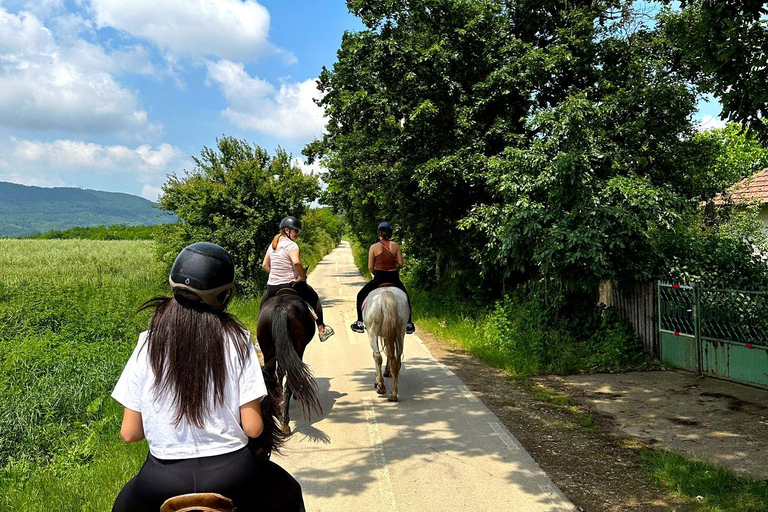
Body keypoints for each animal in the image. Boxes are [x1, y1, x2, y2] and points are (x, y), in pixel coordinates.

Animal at [255, 288, 320, 432]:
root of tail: (280, 308)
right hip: (298, 347)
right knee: (290, 376)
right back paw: (285, 422)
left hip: (268, 349)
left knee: (271, 374)